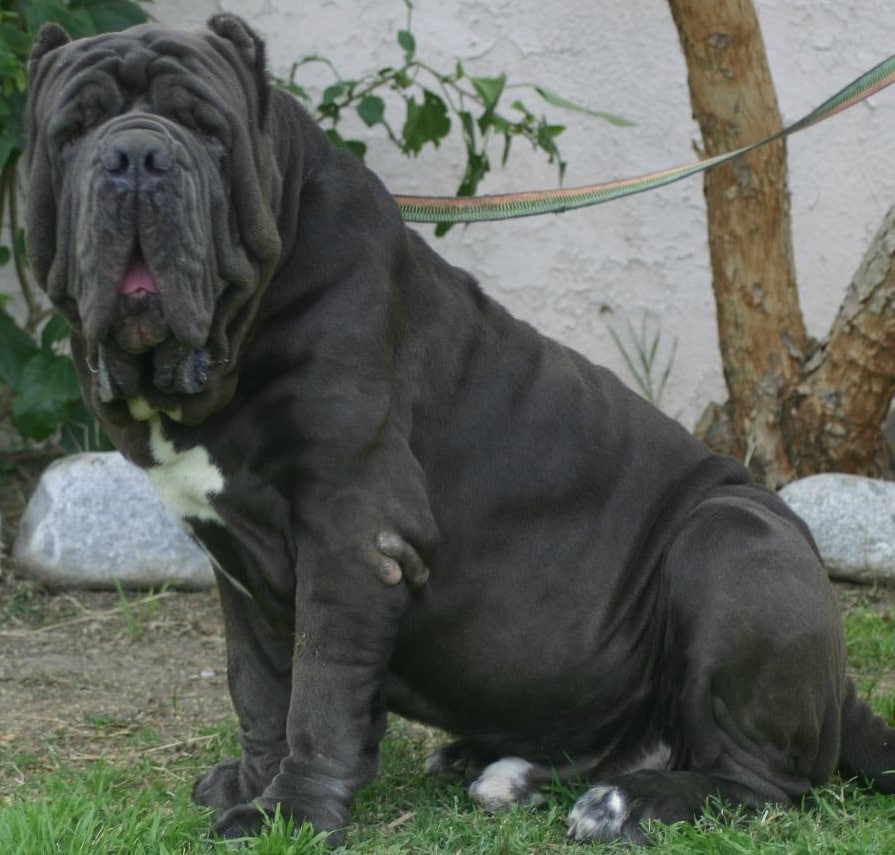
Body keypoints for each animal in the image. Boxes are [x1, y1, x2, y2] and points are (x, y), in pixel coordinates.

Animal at [24, 15, 892, 848]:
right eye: (73, 130)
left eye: (207, 130)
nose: (136, 156)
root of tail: (844, 688)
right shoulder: (236, 557)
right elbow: (259, 684)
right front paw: (251, 781)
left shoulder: (354, 529)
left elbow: (317, 689)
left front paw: (290, 813)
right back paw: (503, 767)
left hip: (729, 543)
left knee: (764, 782)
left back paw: (625, 803)